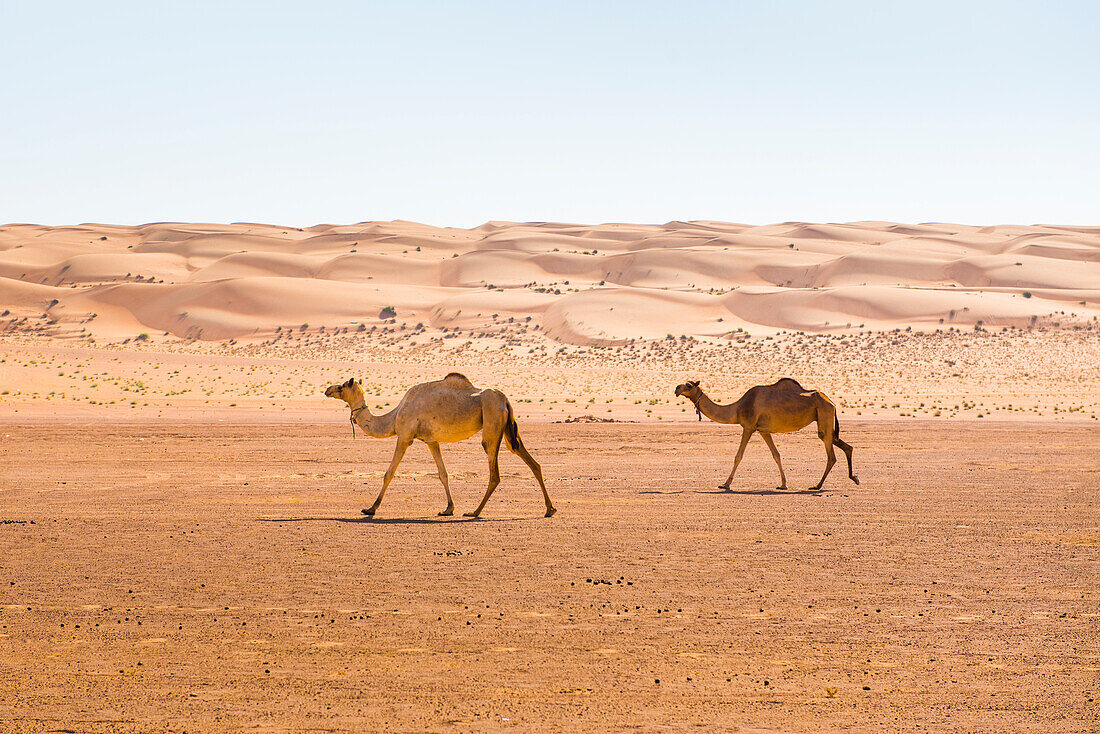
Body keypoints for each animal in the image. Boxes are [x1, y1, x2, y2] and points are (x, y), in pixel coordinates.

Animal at [321, 376, 554, 519]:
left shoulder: (404, 436)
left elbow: (389, 473)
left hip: (492, 423)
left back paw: (474, 512)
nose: (327, 389)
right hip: (507, 429)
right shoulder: (432, 441)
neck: (394, 417)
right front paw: (448, 509)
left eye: (342, 386)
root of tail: (505, 399)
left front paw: (370, 508)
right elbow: (443, 473)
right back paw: (549, 509)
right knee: (531, 461)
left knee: (495, 473)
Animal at [668, 378, 858, 493]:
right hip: (825, 419)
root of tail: (832, 402)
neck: (737, 408)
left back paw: (817, 486)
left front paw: (725, 484)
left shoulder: (748, 426)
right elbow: (776, 455)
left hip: (824, 415)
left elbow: (738, 456)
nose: (676, 388)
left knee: (831, 455)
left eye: (689, 385)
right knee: (846, 446)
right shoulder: (763, 431)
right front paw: (783, 484)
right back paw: (854, 477)